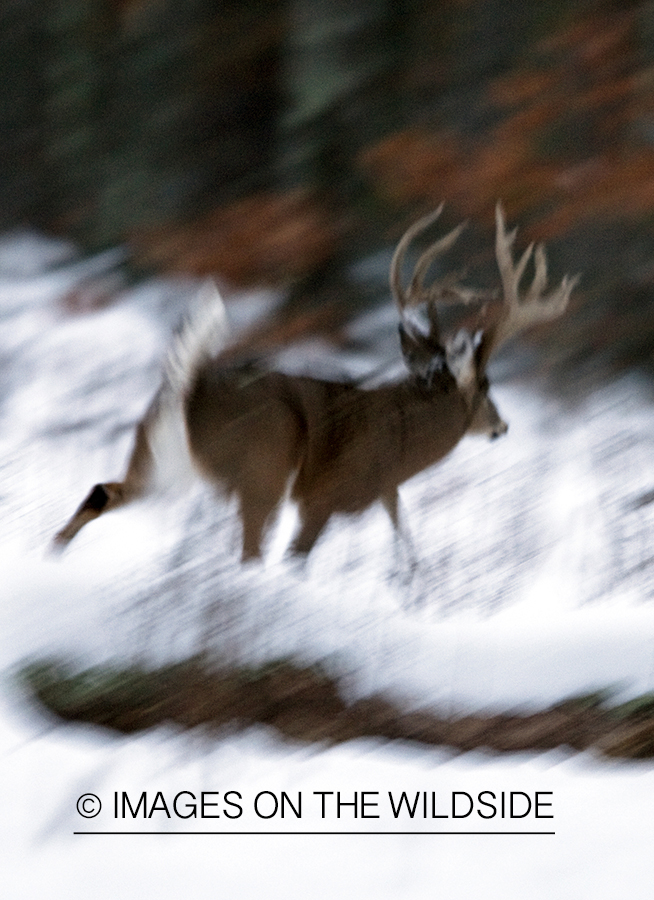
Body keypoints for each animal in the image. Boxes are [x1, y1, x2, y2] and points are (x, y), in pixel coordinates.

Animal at [55, 207, 580, 568]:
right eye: (487, 385)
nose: (502, 426)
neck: (400, 437)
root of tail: (191, 390)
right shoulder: (328, 495)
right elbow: (299, 558)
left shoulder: (385, 494)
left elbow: (404, 544)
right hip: (263, 467)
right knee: (249, 552)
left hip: (159, 462)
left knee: (101, 491)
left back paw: (52, 555)